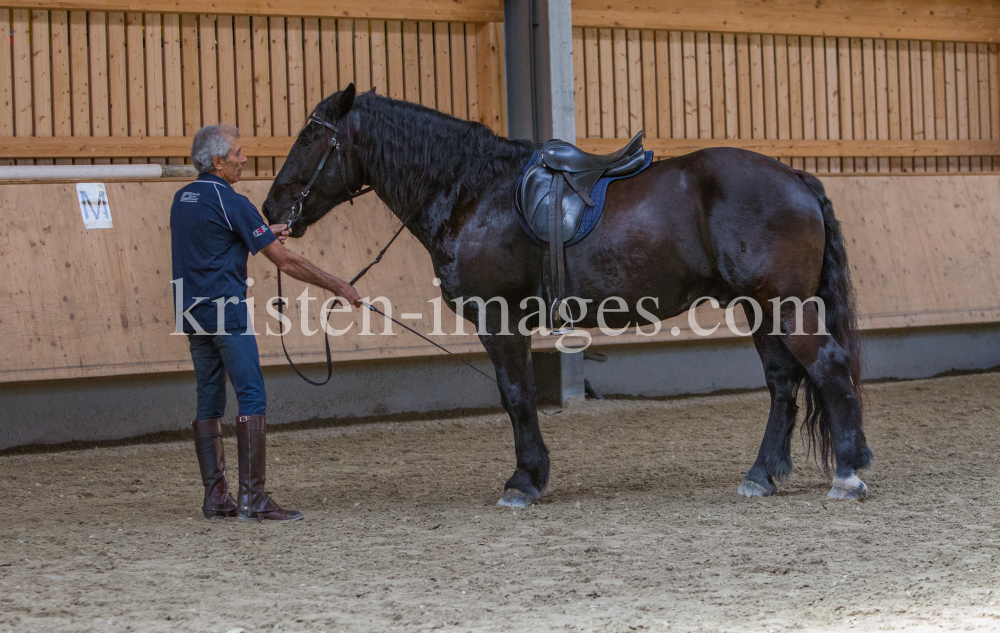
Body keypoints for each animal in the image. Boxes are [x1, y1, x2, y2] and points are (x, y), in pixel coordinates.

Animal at [262, 85, 872, 508]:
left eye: (311, 137)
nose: (271, 209)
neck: (470, 188)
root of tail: (797, 179)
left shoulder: (499, 319)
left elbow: (516, 395)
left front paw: (524, 481)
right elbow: (521, 394)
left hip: (785, 306)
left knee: (828, 366)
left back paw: (846, 474)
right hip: (759, 307)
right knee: (783, 381)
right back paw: (762, 474)